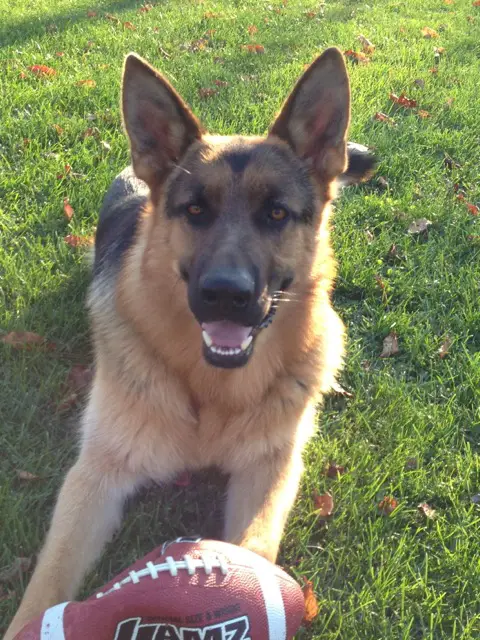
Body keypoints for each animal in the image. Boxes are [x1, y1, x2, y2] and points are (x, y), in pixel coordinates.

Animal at [6, 47, 376, 636]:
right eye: (195, 210)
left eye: (276, 212)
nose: (226, 294)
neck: (212, 392)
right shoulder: (94, 476)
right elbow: (48, 580)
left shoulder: (271, 468)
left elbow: (255, 546)